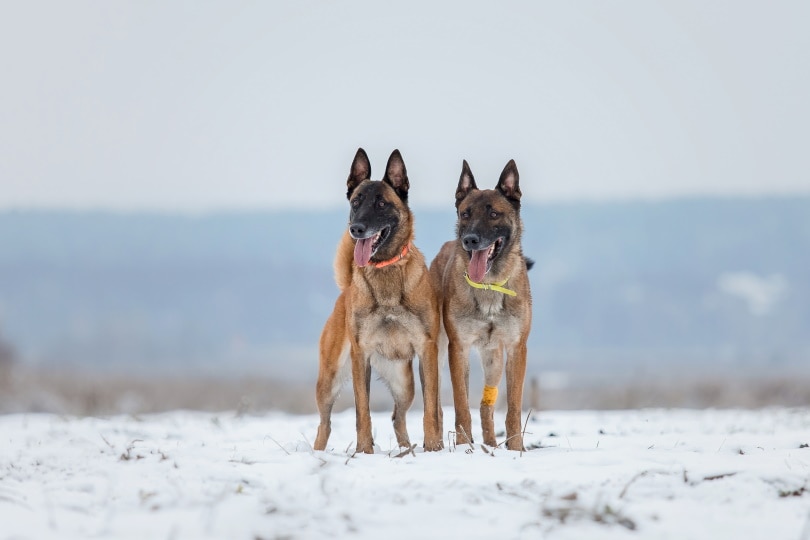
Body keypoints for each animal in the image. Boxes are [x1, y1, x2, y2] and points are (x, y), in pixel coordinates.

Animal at [314, 150, 442, 454]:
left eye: (382, 203)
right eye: (356, 202)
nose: (356, 229)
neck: (386, 270)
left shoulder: (427, 351)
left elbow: (431, 409)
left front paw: (433, 448)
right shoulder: (360, 357)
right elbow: (363, 411)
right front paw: (364, 451)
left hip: (404, 383)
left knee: (398, 416)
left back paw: (407, 450)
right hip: (329, 380)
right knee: (324, 424)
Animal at [426, 159, 532, 452]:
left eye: (494, 214)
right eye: (465, 214)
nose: (470, 239)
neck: (489, 285)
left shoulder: (516, 349)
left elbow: (513, 408)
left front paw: (516, 448)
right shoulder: (458, 348)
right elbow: (461, 405)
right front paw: (464, 447)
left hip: (494, 359)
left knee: (487, 406)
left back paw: (491, 444)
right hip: (438, 355)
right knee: (437, 406)